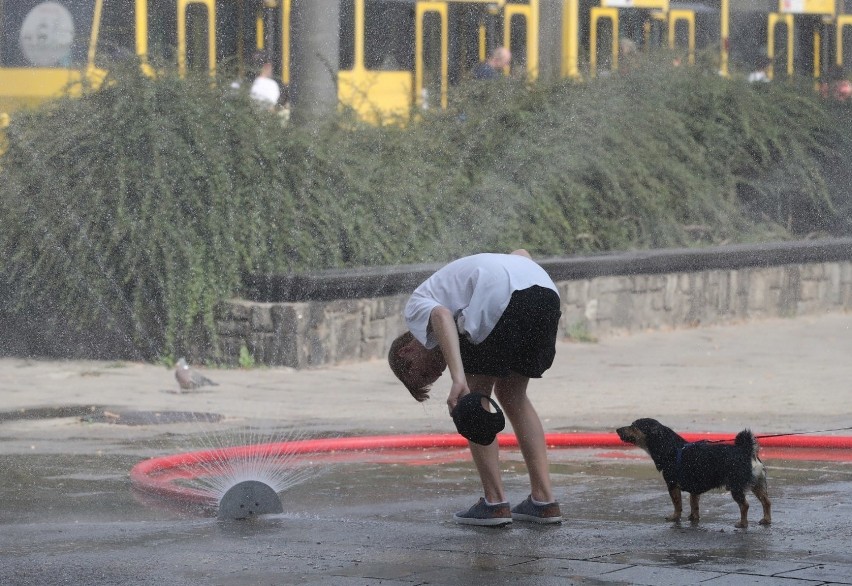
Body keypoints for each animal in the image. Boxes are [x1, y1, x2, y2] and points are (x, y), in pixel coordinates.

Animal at [620, 418, 772, 528]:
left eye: (633, 426)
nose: (617, 429)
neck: (670, 448)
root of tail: (747, 451)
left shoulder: (672, 485)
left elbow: (677, 504)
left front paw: (675, 517)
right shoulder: (694, 488)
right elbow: (694, 505)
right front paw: (693, 518)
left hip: (736, 486)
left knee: (745, 505)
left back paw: (742, 524)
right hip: (758, 485)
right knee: (766, 502)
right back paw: (766, 520)